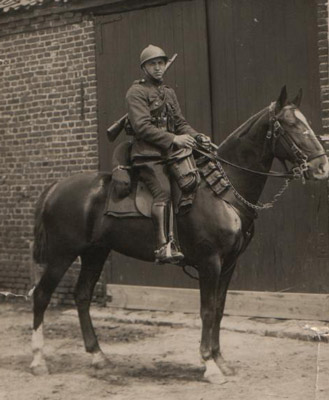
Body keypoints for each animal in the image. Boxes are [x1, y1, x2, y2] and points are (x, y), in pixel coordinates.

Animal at [30, 88, 328, 384]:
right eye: (291, 125)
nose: (322, 167)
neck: (222, 192)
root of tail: (56, 187)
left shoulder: (229, 264)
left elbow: (219, 309)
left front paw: (220, 361)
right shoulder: (210, 262)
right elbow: (207, 310)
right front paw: (209, 364)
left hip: (95, 253)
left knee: (82, 296)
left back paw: (98, 356)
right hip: (62, 254)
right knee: (41, 295)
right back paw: (38, 361)